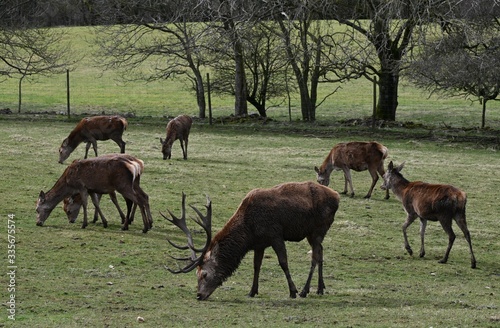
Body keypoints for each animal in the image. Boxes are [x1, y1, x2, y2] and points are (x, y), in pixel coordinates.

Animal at [164, 181, 340, 302]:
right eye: (197, 274)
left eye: (204, 274)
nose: (199, 295)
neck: (248, 231)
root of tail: (337, 197)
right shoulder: (259, 244)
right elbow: (256, 266)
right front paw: (252, 291)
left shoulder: (275, 234)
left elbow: (283, 262)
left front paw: (292, 291)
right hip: (313, 233)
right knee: (321, 251)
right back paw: (320, 288)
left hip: (318, 228)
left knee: (315, 256)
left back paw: (304, 290)